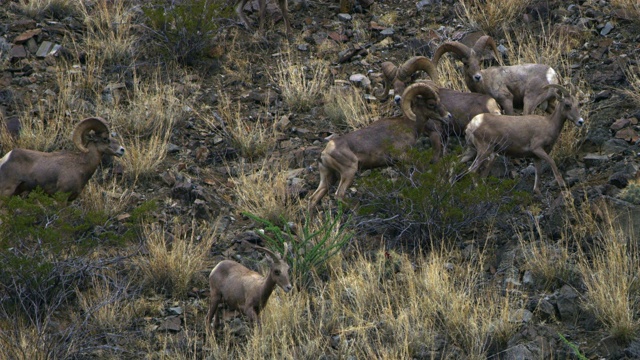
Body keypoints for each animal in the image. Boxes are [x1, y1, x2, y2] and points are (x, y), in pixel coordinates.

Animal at [308, 82, 450, 210]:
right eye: (431, 104)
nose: (448, 116)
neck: (408, 125)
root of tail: (325, 153)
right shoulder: (402, 156)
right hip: (348, 172)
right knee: (339, 195)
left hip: (329, 177)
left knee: (314, 199)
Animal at [430, 35, 560, 115]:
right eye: (466, 63)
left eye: (480, 62)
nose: (478, 77)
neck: (484, 84)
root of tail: (551, 74)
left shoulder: (506, 100)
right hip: (549, 105)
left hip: (530, 100)